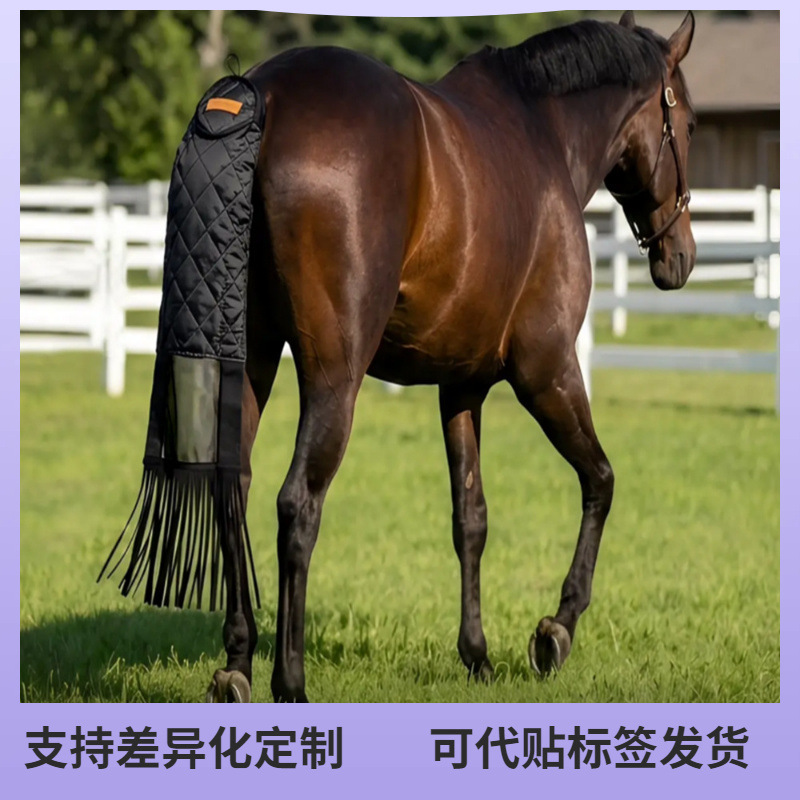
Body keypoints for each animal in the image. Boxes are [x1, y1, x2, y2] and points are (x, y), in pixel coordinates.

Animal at [108, 11, 698, 703]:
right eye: (689, 124)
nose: (679, 257)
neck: (544, 135)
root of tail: (260, 96)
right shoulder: (546, 370)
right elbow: (600, 480)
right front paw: (556, 630)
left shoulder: (462, 386)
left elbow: (471, 518)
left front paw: (477, 654)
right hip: (335, 378)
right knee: (297, 504)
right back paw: (290, 681)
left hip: (251, 360)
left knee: (235, 488)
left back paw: (237, 665)